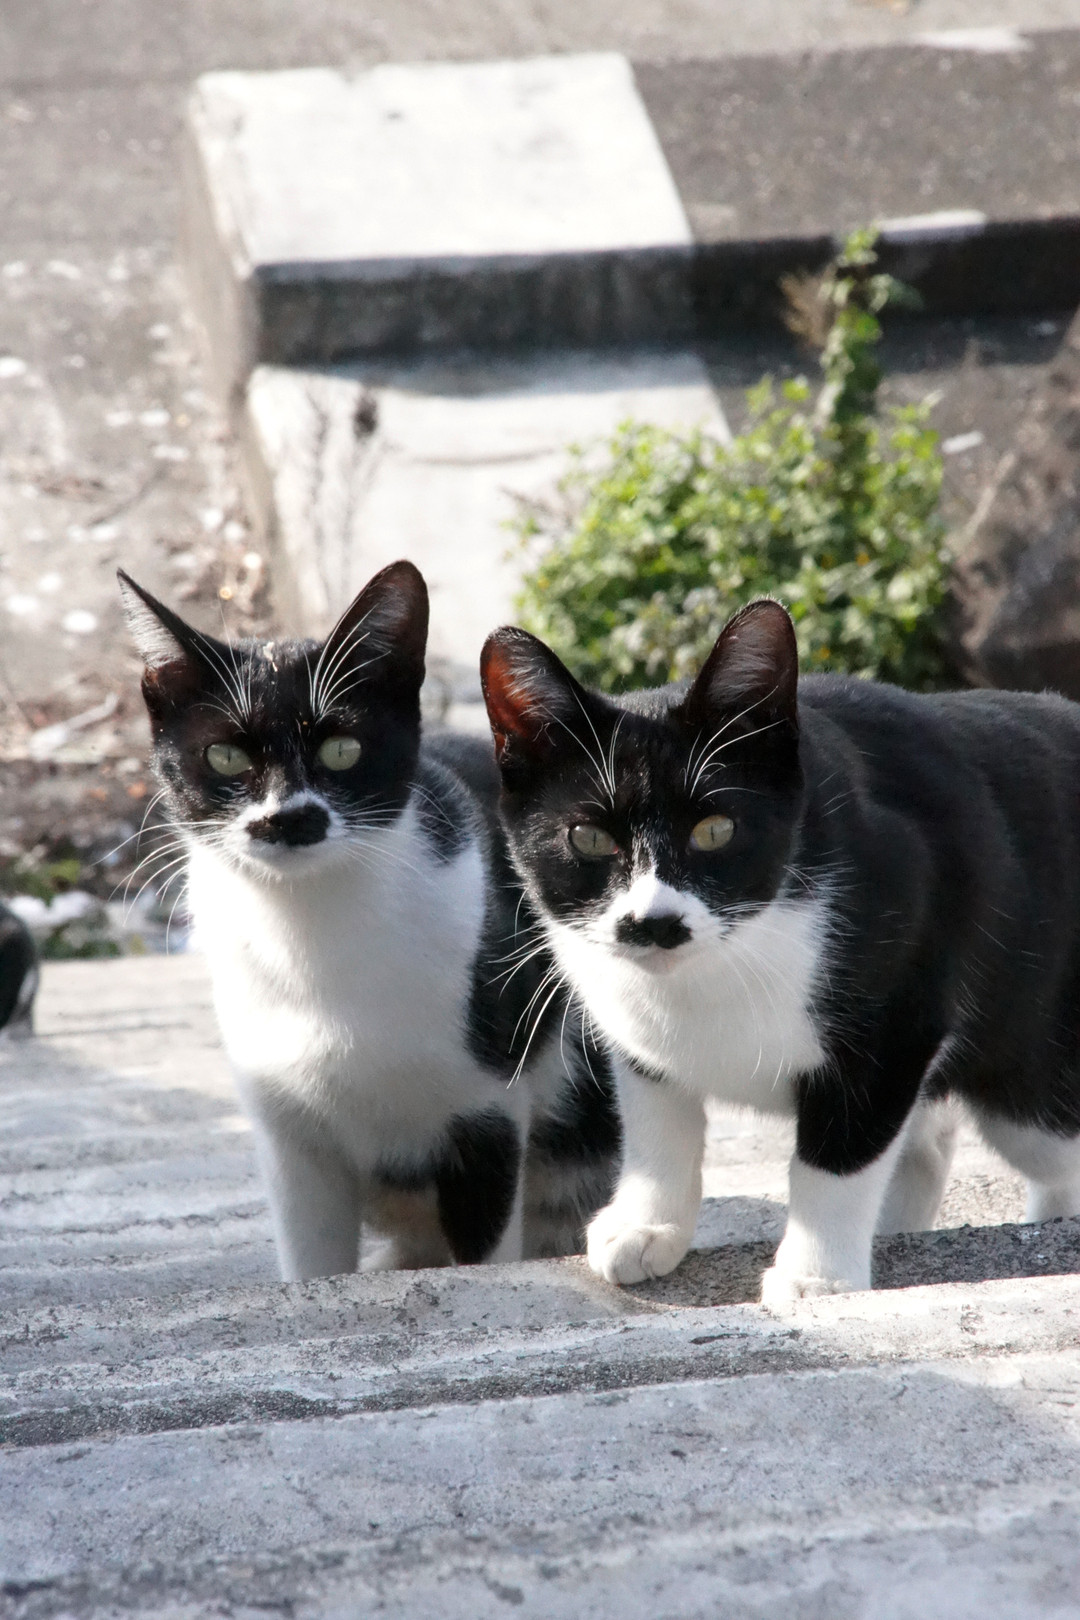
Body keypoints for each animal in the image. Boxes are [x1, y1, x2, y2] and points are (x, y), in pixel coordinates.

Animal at [119, 560, 618, 1279]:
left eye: (341, 751)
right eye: (225, 757)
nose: (289, 817)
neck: (312, 936)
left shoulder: (488, 1113)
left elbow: (486, 1250)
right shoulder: (290, 1137)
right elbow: (312, 1261)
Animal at [480, 597, 1080, 1305]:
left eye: (715, 830)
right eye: (590, 838)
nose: (654, 922)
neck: (721, 964)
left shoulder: (897, 1015)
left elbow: (838, 1153)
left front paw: (817, 1277)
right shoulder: (635, 1029)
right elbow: (657, 1118)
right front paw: (647, 1224)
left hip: (1028, 1061)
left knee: (1049, 1145)